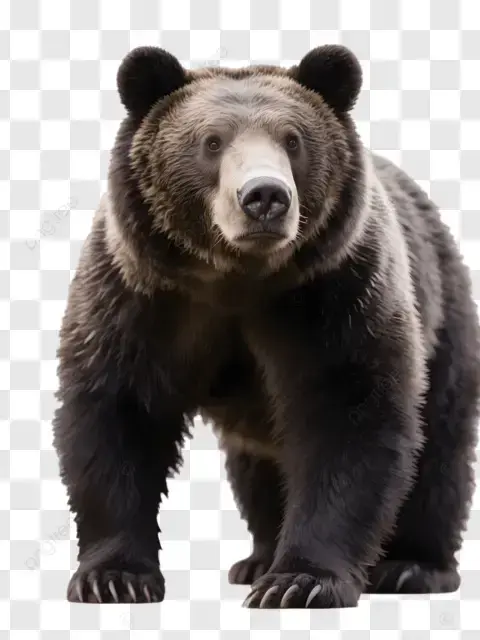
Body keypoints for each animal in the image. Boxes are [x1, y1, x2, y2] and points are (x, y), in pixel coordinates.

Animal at [52, 44, 480, 608]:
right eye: (211, 142)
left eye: (293, 140)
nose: (264, 196)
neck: (238, 279)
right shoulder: (141, 300)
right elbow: (116, 416)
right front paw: (114, 577)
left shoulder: (335, 296)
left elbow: (349, 418)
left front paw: (300, 581)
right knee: (256, 467)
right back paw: (256, 557)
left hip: (443, 314)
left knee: (438, 452)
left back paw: (412, 567)